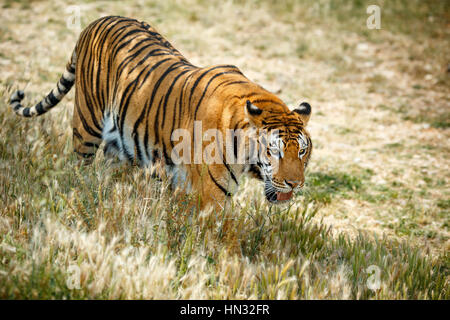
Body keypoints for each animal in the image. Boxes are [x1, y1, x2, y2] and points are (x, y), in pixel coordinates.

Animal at [10, 15, 312, 211]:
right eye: (274, 151)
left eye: (301, 152)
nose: (295, 184)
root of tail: (96, 21)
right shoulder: (213, 196)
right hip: (86, 125)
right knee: (78, 167)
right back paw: (79, 196)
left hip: (120, 145)